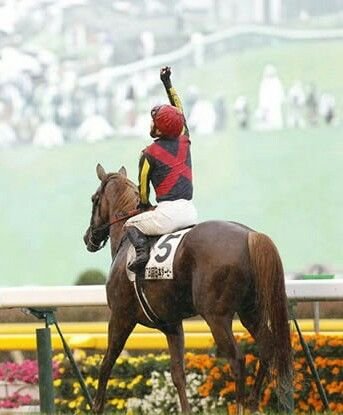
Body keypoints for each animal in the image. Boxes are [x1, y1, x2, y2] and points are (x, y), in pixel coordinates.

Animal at [83, 164, 292, 414]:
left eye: (94, 198)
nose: (88, 237)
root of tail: (251, 235)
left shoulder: (120, 317)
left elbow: (106, 363)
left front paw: (96, 407)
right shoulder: (172, 325)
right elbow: (177, 374)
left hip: (217, 317)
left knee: (238, 361)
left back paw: (242, 405)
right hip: (250, 311)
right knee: (267, 348)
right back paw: (252, 403)